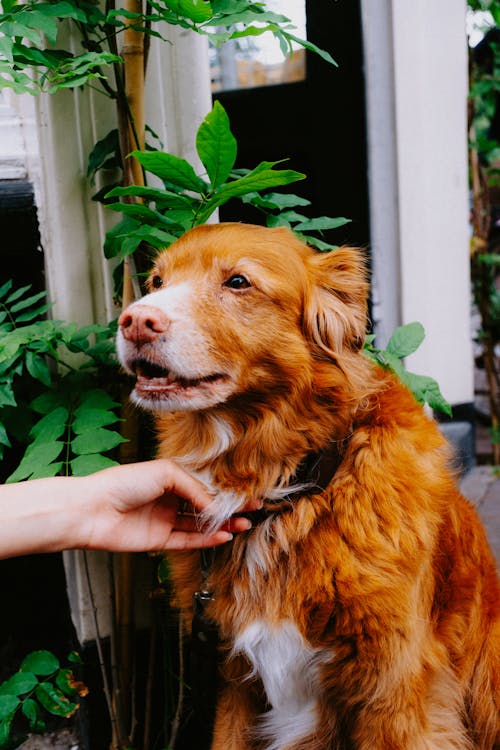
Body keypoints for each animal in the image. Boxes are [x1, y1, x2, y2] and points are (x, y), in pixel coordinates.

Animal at [118, 223, 500, 750]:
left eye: (238, 282)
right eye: (156, 281)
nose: (134, 321)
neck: (289, 492)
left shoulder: (393, 694)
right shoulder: (235, 678)